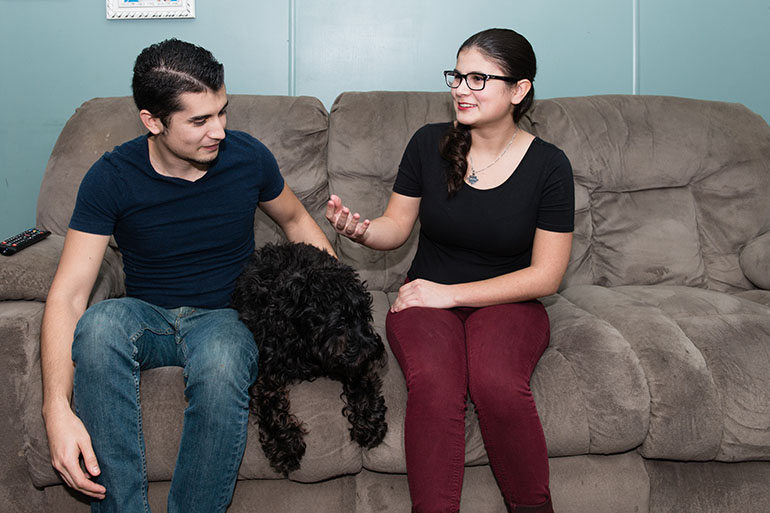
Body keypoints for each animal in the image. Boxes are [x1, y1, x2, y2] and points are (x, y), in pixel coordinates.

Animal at [228, 242, 384, 474]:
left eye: (365, 315)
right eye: (341, 322)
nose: (374, 350)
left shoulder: (351, 362)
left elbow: (363, 384)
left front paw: (370, 422)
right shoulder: (263, 371)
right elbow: (269, 403)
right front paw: (284, 445)